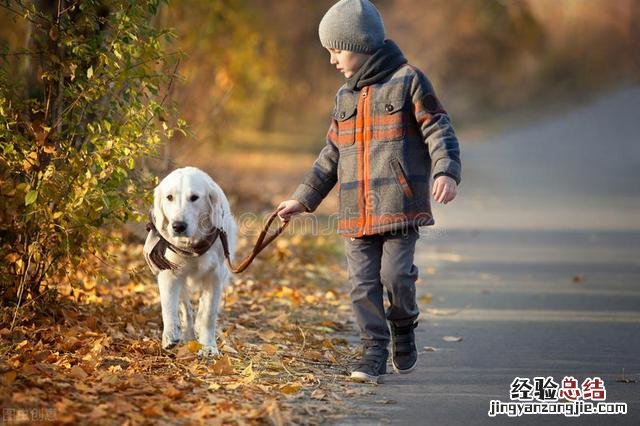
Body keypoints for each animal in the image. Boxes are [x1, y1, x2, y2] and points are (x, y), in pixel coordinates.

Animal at [144, 166, 236, 356]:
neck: (192, 245)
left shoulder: (215, 278)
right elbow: (168, 307)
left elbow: (208, 314)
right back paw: (186, 334)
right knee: (185, 308)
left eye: (194, 197)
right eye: (169, 197)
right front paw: (170, 335)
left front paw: (208, 346)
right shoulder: (169, 273)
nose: (178, 226)